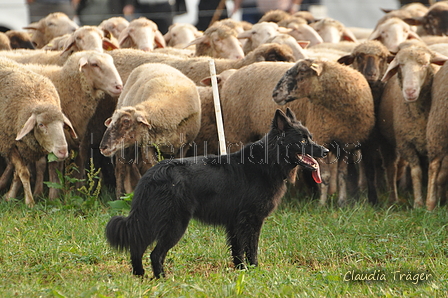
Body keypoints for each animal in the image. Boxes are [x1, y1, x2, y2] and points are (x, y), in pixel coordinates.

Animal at [0, 57, 76, 207]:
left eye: (62, 124)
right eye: (41, 125)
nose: (63, 151)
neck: (36, 97)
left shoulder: (25, 147)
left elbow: (18, 173)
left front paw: (9, 196)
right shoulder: (8, 143)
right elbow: (24, 172)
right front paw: (30, 202)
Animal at [105, 108, 328, 278]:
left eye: (310, 137)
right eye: (302, 141)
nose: (326, 151)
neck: (269, 161)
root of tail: (152, 174)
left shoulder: (235, 223)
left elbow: (237, 250)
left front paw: (241, 271)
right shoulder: (251, 220)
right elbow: (251, 248)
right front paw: (254, 269)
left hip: (152, 219)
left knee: (137, 245)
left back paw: (139, 274)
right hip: (174, 224)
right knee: (155, 253)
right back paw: (161, 278)